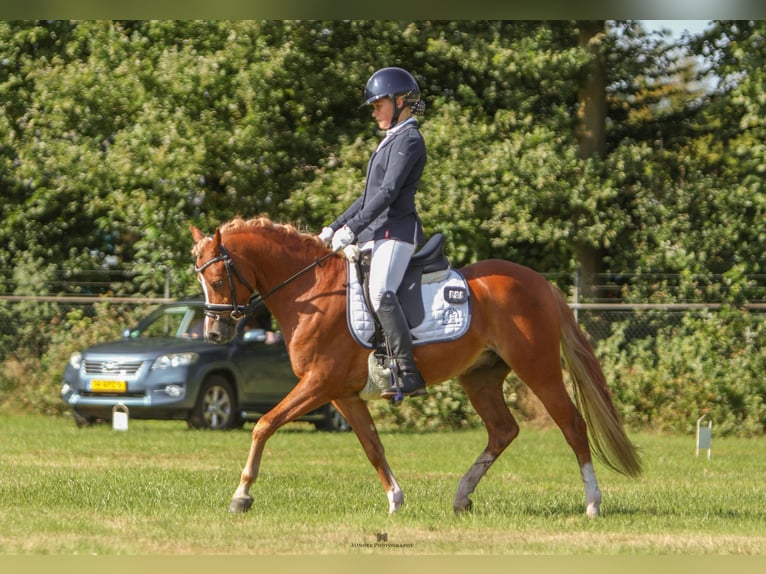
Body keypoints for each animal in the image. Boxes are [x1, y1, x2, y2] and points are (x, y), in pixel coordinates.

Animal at [190, 218, 640, 520]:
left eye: (218, 278)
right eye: (202, 279)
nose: (213, 332)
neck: (312, 290)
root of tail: (541, 283)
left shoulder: (319, 383)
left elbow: (263, 424)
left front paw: (241, 495)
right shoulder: (341, 394)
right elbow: (372, 445)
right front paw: (395, 499)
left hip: (538, 370)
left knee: (572, 424)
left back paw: (592, 503)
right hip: (479, 377)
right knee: (503, 430)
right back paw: (461, 497)